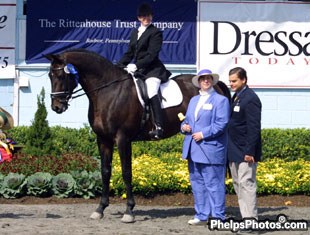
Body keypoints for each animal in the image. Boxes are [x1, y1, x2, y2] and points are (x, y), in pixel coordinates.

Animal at [45, 49, 230, 222]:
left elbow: (126, 172)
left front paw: (129, 211)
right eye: (49, 75)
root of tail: (217, 84)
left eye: (61, 75)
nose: (56, 107)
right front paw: (100, 209)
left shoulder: (123, 139)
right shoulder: (103, 139)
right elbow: (105, 171)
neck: (108, 91)